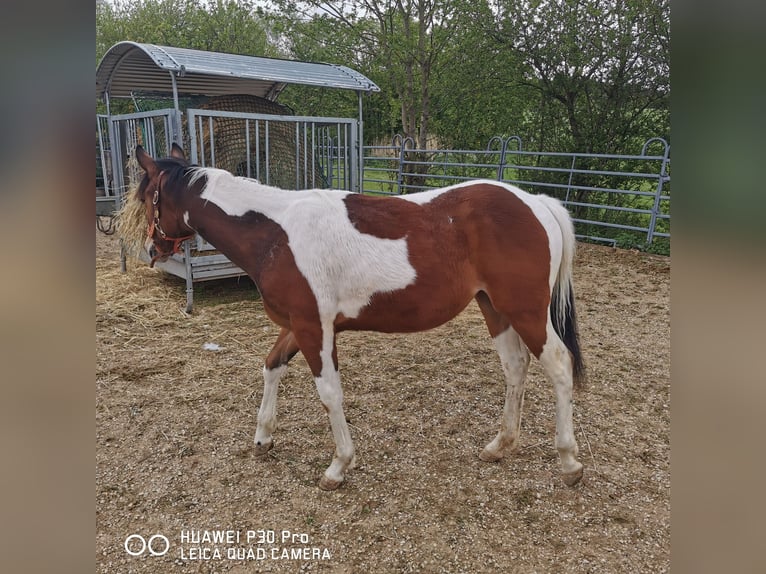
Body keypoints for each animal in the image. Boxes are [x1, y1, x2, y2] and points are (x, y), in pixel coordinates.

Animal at [130, 144, 588, 490]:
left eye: (148, 197)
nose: (153, 249)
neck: (275, 234)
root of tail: (537, 203)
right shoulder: (299, 325)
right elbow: (271, 366)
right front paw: (262, 438)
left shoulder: (314, 329)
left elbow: (330, 394)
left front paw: (338, 466)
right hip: (495, 308)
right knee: (515, 368)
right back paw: (501, 444)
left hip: (526, 310)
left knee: (559, 366)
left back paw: (568, 462)